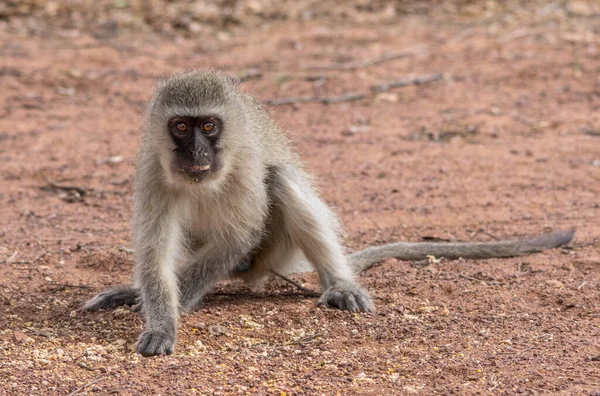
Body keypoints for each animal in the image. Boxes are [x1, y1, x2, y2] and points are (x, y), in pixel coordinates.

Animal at [84, 69, 572, 358]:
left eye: (208, 126)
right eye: (181, 127)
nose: (198, 153)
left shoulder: (243, 163)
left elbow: (239, 233)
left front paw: (174, 307)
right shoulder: (153, 169)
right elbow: (154, 251)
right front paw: (160, 317)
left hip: (272, 254)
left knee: (281, 179)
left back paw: (340, 284)